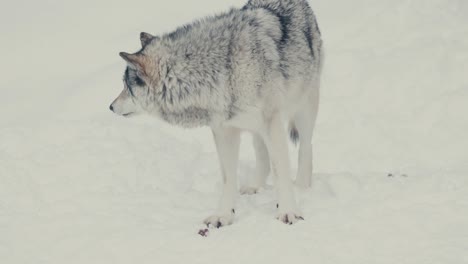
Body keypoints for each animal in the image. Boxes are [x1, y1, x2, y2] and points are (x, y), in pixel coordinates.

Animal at [109, 0, 322, 227]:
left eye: (126, 87)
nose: (110, 106)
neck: (220, 72)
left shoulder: (271, 124)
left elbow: (281, 171)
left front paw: (288, 211)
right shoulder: (224, 131)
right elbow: (228, 179)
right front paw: (223, 215)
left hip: (302, 110)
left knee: (306, 147)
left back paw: (302, 186)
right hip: (256, 128)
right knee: (262, 154)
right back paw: (255, 186)